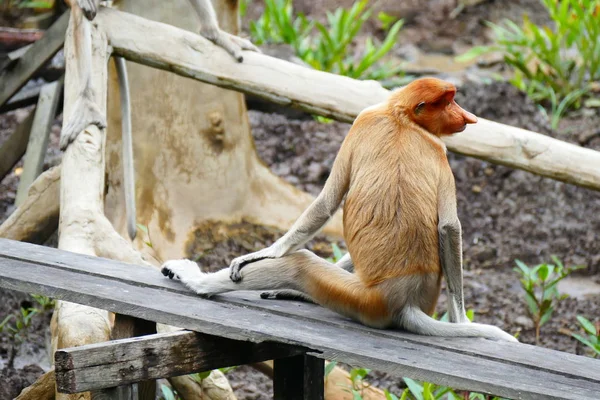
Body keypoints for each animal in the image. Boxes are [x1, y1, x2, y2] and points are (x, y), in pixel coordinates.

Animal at [159, 76, 516, 342]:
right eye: (450, 101)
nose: (467, 117)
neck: (401, 117)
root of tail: (406, 301)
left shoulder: (366, 122)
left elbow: (328, 200)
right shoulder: (432, 147)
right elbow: (447, 226)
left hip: (366, 301)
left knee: (300, 264)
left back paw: (198, 281)